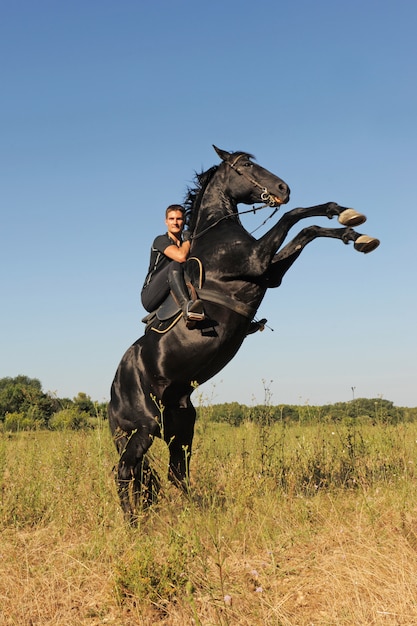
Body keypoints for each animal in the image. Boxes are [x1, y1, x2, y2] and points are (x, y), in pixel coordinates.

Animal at [106, 145, 376, 516]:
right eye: (246, 164)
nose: (283, 188)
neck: (216, 234)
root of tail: (113, 394)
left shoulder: (270, 273)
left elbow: (307, 230)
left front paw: (351, 226)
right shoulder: (257, 262)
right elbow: (294, 217)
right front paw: (345, 219)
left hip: (180, 426)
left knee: (173, 473)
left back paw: (195, 512)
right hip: (143, 428)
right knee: (126, 471)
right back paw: (134, 523)